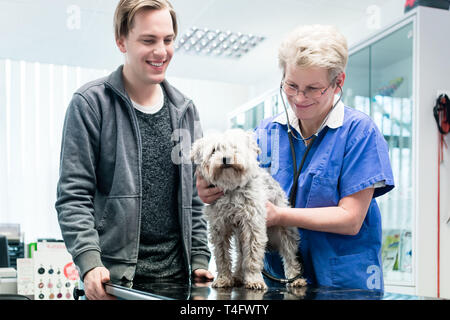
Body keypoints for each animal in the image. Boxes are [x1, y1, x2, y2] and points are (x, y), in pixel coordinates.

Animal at [190, 128, 306, 290]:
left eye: (235, 147)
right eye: (214, 150)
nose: (226, 158)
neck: (231, 189)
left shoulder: (253, 225)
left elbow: (252, 256)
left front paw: (254, 280)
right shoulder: (219, 228)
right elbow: (222, 256)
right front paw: (224, 278)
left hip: (284, 229)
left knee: (289, 254)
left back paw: (295, 278)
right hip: (240, 234)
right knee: (240, 254)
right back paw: (238, 276)